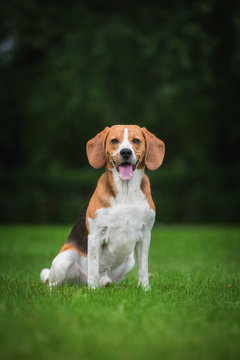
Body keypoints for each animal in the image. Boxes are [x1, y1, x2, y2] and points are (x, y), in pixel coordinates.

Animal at [41, 125, 165, 288]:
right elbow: (93, 266)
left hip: (129, 260)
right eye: (114, 140)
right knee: (53, 284)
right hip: (65, 258)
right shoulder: (95, 236)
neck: (125, 192)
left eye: (136, 140)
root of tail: (81, 282)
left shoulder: (145, 235)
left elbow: (143, 268)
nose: (126, 152)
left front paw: (144, 289)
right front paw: (93, 291)